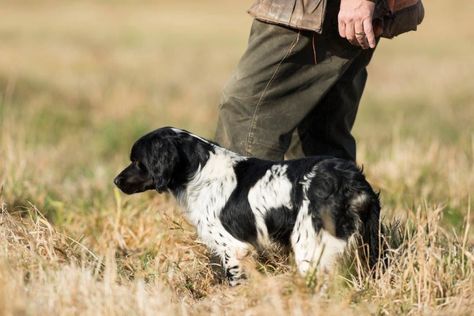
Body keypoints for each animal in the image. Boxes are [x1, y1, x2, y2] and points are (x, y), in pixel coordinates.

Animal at [115, 126, 382, 286]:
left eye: (137, 162)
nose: (116, 181)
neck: (200, 171)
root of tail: (352, 180)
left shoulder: (233, 247)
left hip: (309, 245)